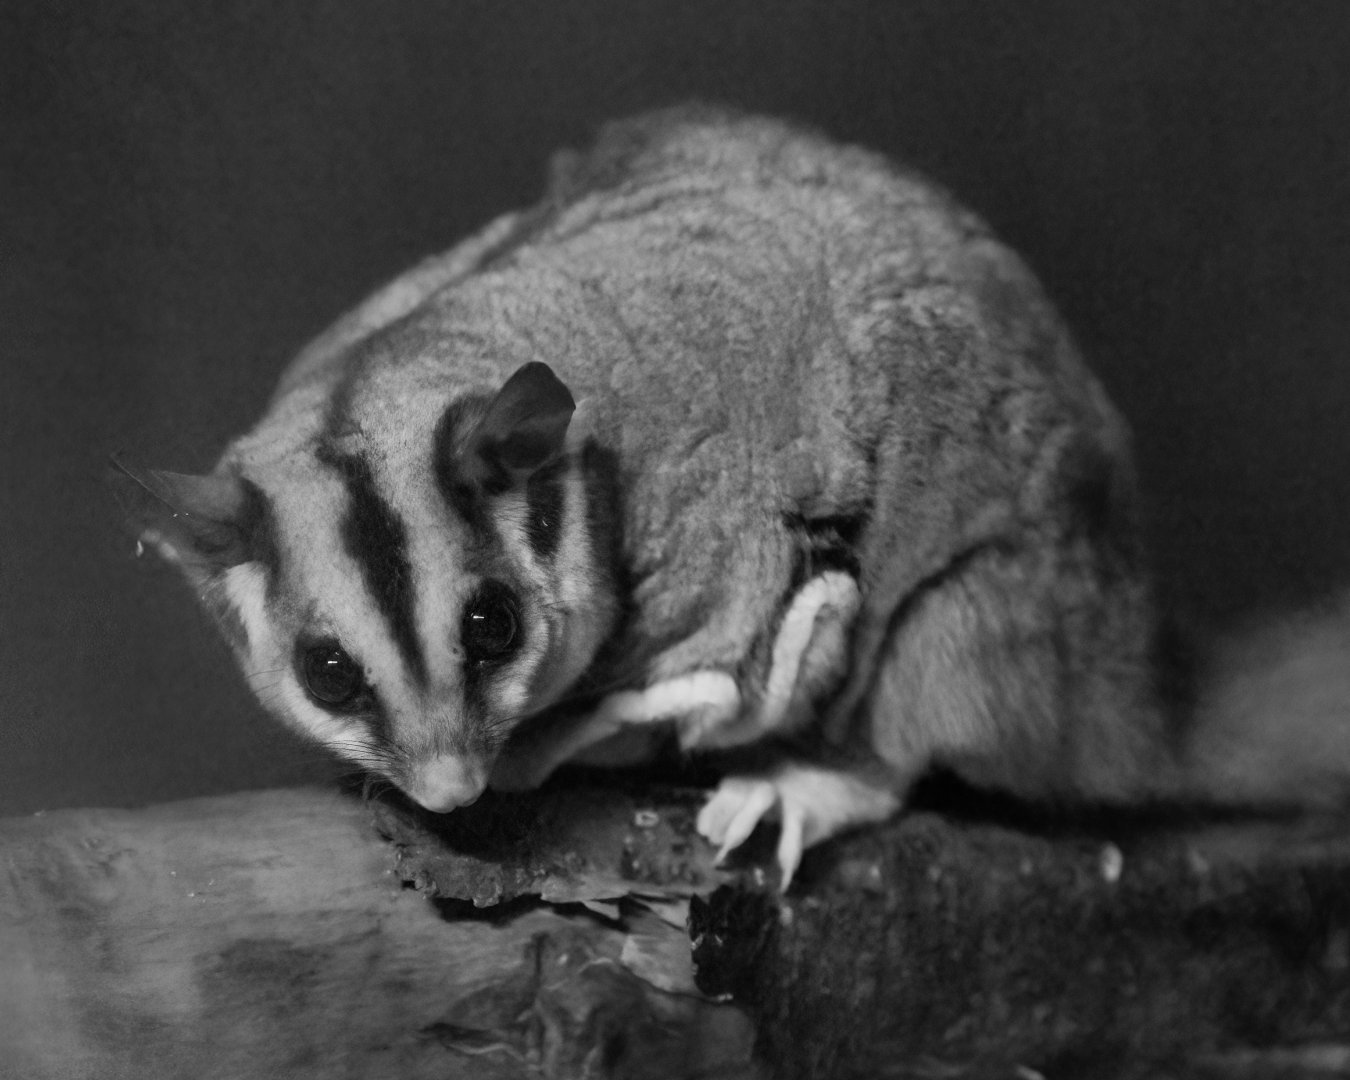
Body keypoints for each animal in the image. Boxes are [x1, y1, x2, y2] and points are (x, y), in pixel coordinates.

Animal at [115, 104, 1350, 888]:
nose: (452, 788)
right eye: (328, 672)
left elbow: (729, 670)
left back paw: (812, 782)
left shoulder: (722, 555)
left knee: (921, 673)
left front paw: (559, 744)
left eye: (490, 624)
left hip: (1003, 619)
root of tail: (1136, 686)